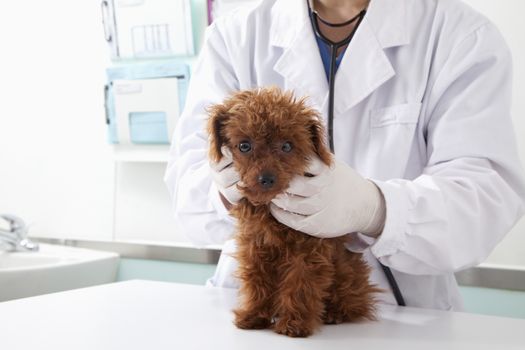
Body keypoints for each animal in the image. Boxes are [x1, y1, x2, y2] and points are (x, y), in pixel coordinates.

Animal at [207, 87, 378, 336]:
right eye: (244, 146)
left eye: (287, 146)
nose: (267, 179)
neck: (268, 209)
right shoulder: (255, 247)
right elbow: (257, 282)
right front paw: (253, 315)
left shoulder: (308, 250)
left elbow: (301, 285)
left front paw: (294, 324)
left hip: (348, 273)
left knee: (354, 301)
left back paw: (335, 313)